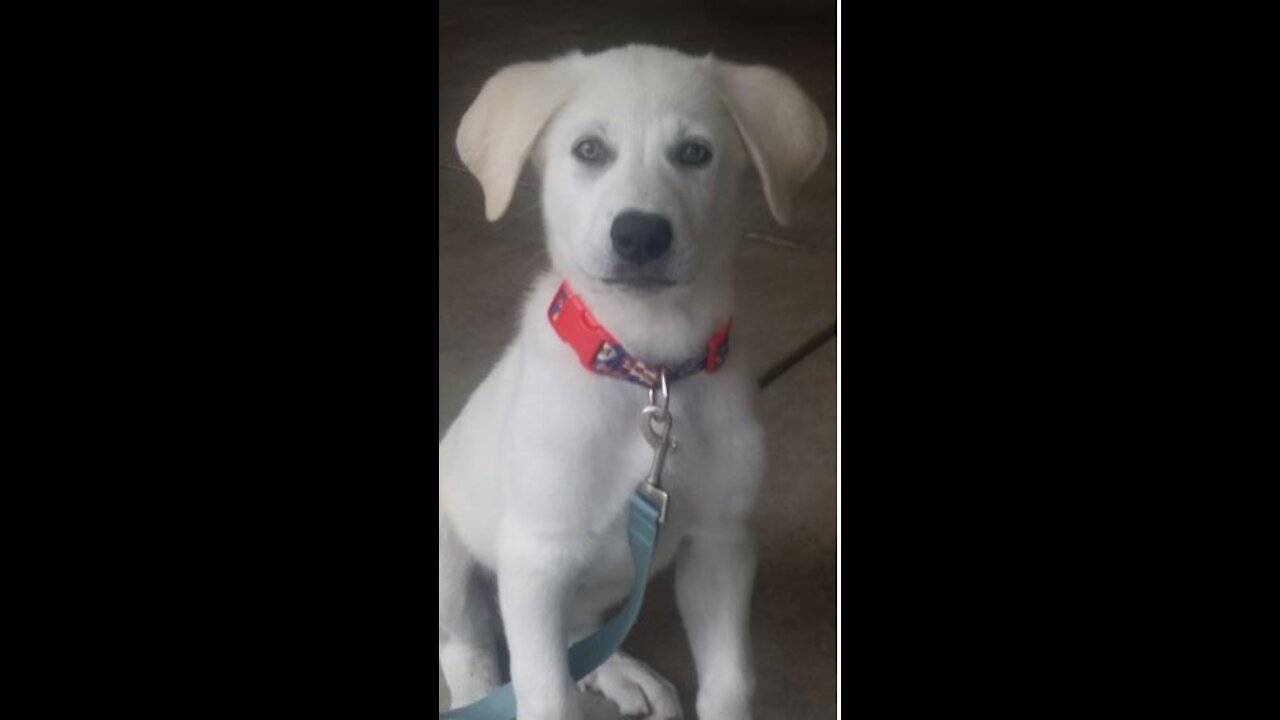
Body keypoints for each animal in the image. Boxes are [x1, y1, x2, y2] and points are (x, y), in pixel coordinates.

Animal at [435, 46, 824, 717]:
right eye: (589, 150)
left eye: (695, 153)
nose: (640, 234)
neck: (647, 372)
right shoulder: (535, 559)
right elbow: (545, 693)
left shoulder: (719, 545)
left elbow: (730, 682)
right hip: (450, 560)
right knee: (468, 645)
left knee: (580, 634)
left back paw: (619, 672)